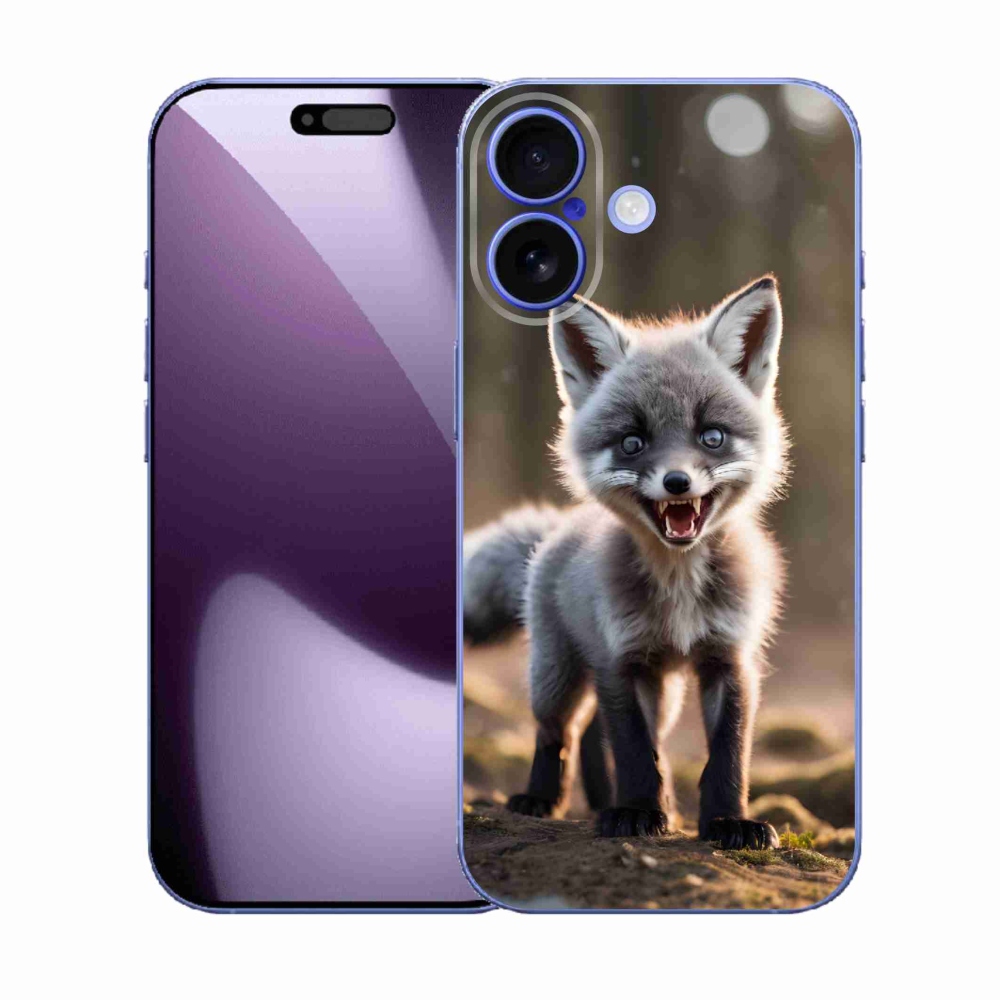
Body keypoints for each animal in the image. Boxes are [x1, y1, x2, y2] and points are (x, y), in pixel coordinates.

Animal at [464, 276, 789, 849]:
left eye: (711, 436)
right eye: (632, 442)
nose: (677, 482)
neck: (679, 587)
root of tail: (557, 528)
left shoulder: (730, 659)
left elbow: (727, 756)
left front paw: (729, 822)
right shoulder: (620, 658)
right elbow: (636, 752)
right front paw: (637, 812)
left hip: (664, 690)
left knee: (596, 731)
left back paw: (609, 802)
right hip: (557, 674)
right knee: (559, 731)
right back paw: (542, 799)